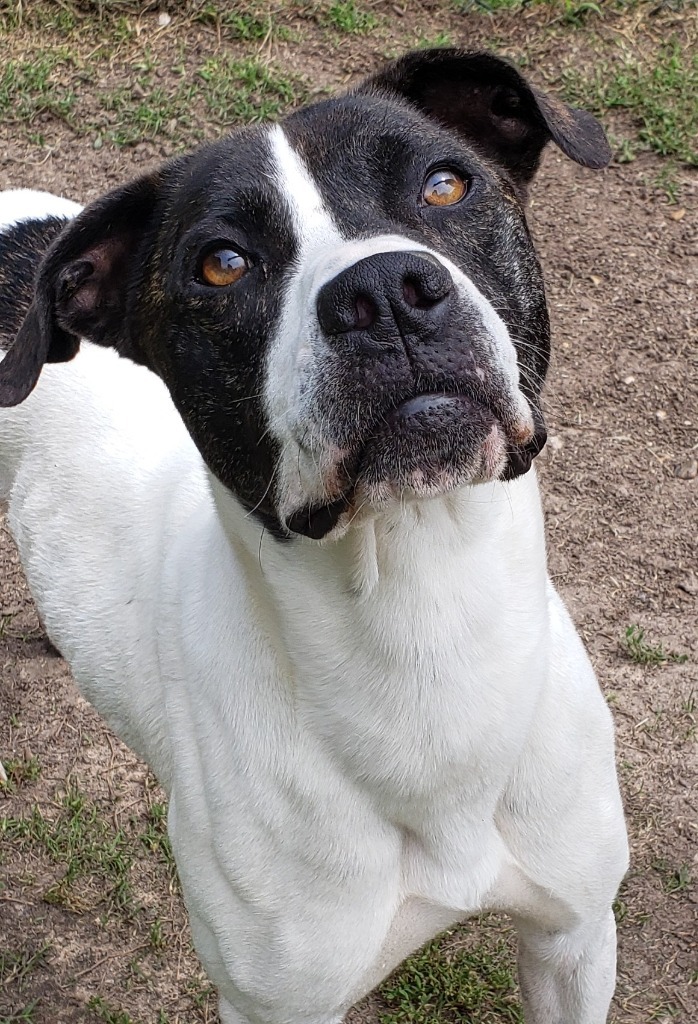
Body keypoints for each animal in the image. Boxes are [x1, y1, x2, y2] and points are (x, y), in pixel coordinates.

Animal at [0, 51, 626, 1024]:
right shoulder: (276, 1002)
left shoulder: (576, 936)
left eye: (446, 183)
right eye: (221, 264)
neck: (423, 627)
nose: (383, 292)